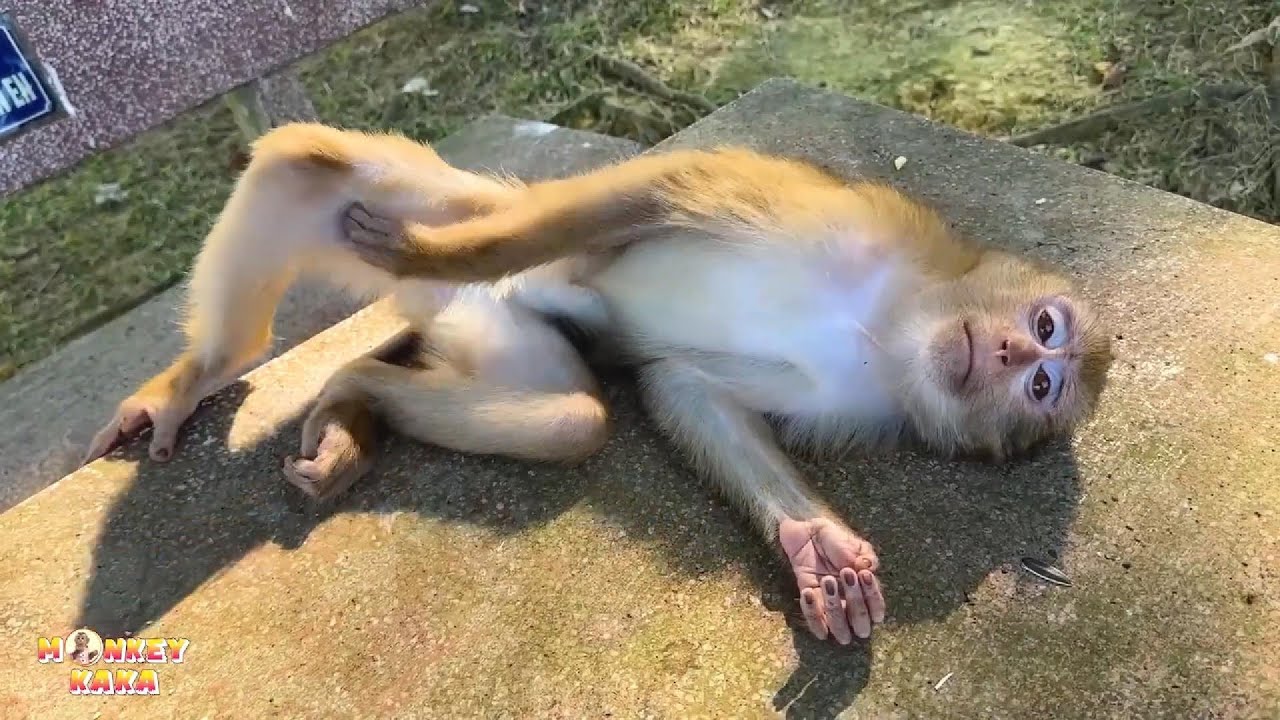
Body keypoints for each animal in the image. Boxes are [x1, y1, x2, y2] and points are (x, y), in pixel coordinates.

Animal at [81, 123, 1114, 646]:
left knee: (573, 419)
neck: (889, 324)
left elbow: (686, 389)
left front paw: (812, 545)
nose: (1015, 359)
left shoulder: (853, 396)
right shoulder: (858, 216)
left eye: (1044, 388)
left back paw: (355, 400)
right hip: (463, 205)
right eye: (1046, 333)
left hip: (482, 327)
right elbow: (661, 187)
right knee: (310, 161)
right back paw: (204, 373)